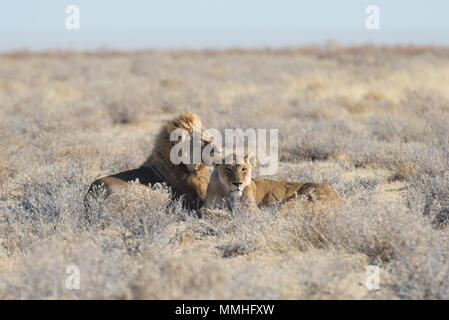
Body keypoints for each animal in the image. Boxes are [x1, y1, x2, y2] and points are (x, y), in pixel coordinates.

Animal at [200, 152, 340, 215]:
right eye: (228, 169)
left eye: (244, 169)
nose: (237, 183)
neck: (229, 194)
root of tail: (339, 199)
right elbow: (204, 211)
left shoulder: (252, 210)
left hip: (298, 197)